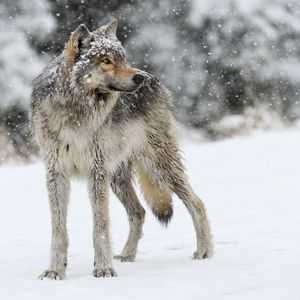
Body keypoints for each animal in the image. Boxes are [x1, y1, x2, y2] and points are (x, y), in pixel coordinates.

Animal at [30, 19, 213, 280]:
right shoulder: (56, 174)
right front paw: (55, 271)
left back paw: (204, 252)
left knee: (197, 203)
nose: (139, 79)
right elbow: (59, 229)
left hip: (159, 167)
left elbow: (100, 226)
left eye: (123, 59)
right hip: (117, 177)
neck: (75, 112)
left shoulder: (96, 172)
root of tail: (156, 80)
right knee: (139, 212)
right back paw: (127, 255)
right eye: (106, 60)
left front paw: (103, 268)